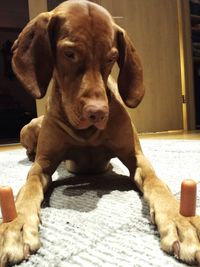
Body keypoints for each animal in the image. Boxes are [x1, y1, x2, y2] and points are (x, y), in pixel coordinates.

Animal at [1, 1, 200, 266]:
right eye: (69, 54)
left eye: (112, 57)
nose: (97, 113)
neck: (87, 132)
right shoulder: (43, 165)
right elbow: (29, 187)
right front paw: (17, 225)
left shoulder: (137, 158)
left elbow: (157, 185)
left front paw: (180, 220)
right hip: (30, 127)